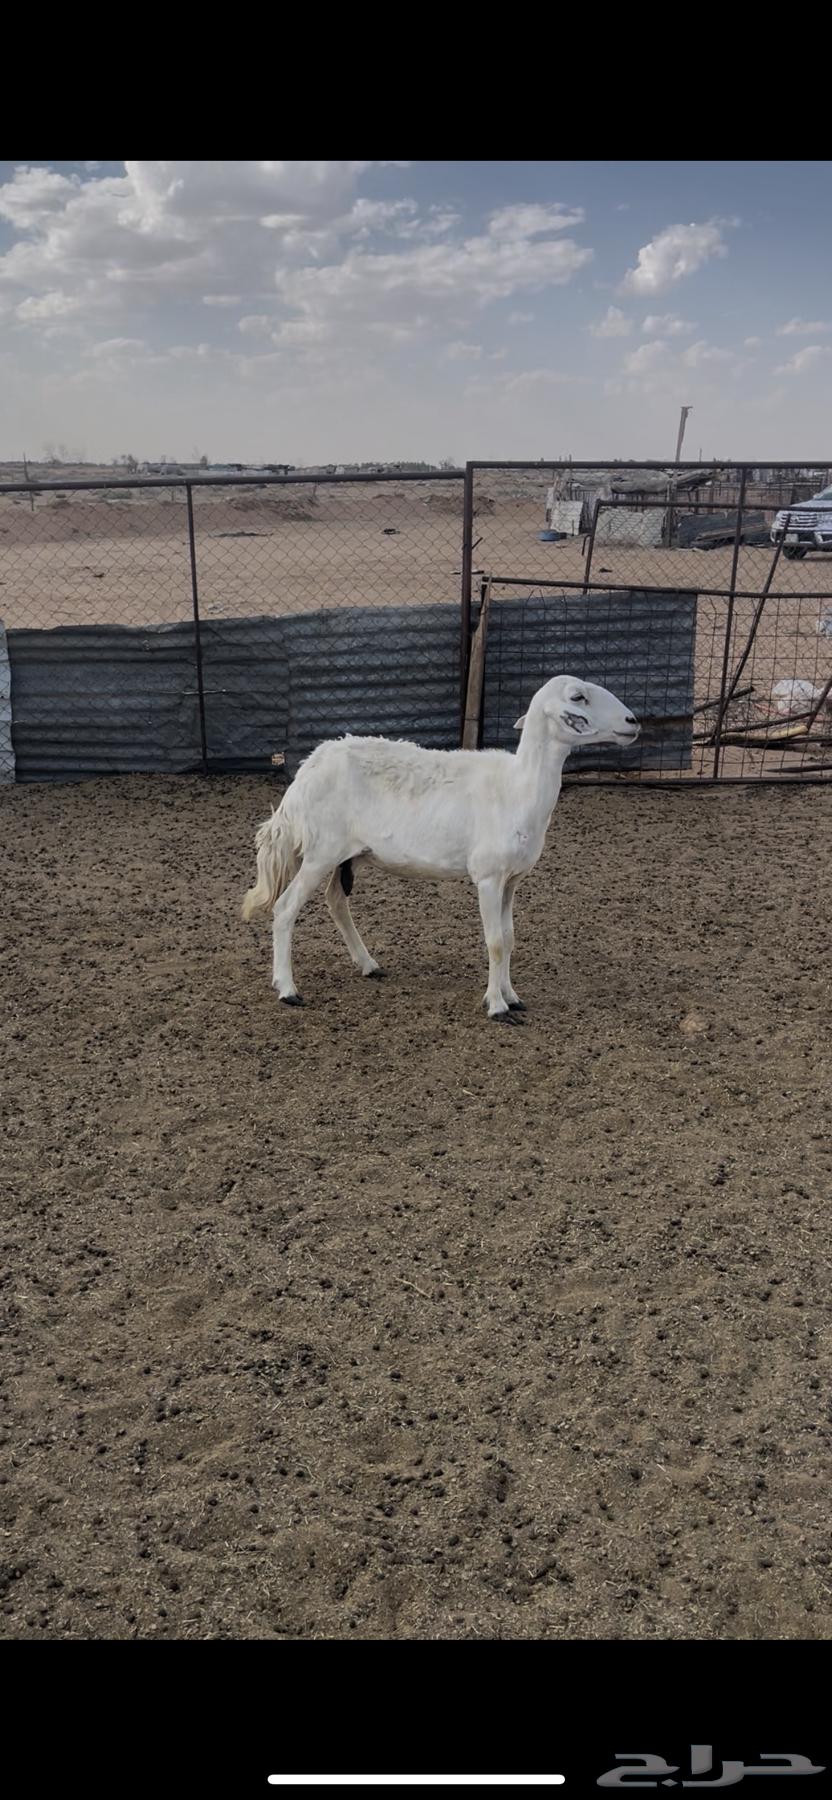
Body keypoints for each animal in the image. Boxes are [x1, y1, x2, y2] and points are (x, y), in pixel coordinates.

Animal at [242, 674, 640, 1021]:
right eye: (578, 697)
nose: (633, 721)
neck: (518, 787)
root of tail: (307, 770)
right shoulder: (488, 877)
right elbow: (495, 942)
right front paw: (497, 1007)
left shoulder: (512, 879)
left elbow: (510, 938)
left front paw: (513, 996)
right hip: (320, 851)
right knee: (285, 908)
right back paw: (288, 989)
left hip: (350, 854)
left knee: (336, 902)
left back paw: (369, 965)